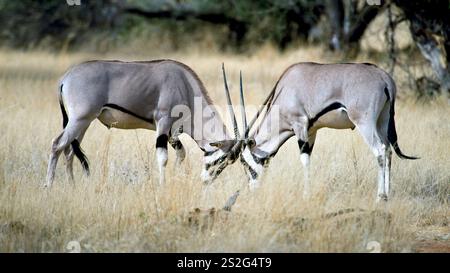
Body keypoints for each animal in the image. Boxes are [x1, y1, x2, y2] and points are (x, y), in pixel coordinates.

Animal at [44, 59, 246, 187]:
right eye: (223, 159)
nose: (207, 180)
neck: (186, 87)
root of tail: (66, 78)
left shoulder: (173, 133)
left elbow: (181, 154)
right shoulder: (163, 122)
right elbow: (163, 157)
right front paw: (162, 186)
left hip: (83, 123)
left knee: (69, 150)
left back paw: (72, 185)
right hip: (79, 119)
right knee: (57, 144)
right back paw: (48, 185)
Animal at [239, 62, 418, 201]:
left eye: (245, 163)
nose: (251, 189)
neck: (285, 90)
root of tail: (383, 78)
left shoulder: (299, 125)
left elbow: (304, 160)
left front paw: (306, 195)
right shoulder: (311, 130)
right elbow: (309, 157)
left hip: (365, 122)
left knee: (380, 150)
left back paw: (380, 197)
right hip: (383, 120)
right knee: (388, 150)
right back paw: (388, 194)